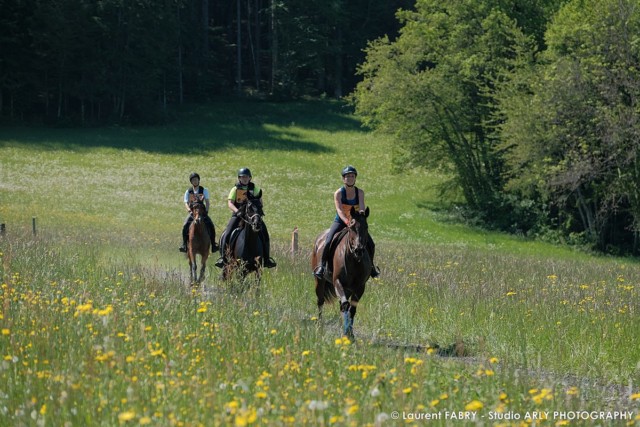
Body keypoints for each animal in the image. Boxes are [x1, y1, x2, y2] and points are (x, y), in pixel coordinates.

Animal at [310, 207, 370, 338]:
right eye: (351, 227)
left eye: (366, 227)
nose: (358, 250)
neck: (354, 260)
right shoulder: (338, 282)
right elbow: (345, 305)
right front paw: (347, 332)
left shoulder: (360, 287)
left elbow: (352, 309)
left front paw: (350, 333)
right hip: (319, 281)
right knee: (320, 301)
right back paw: (319, 326)